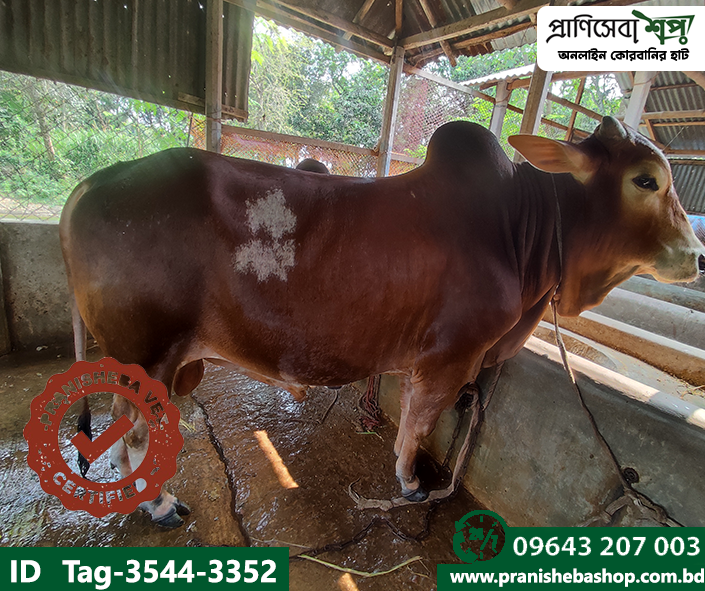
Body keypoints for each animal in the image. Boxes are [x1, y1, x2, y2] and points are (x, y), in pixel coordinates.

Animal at [59, 117, 705, 527]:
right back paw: (160, 505)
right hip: (145, 356)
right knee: (129, 438)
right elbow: (419, 425)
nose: (696, 255)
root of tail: (92, 182)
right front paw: (412, 483)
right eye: (646, 179)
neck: (518, 232)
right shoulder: (449, 357)